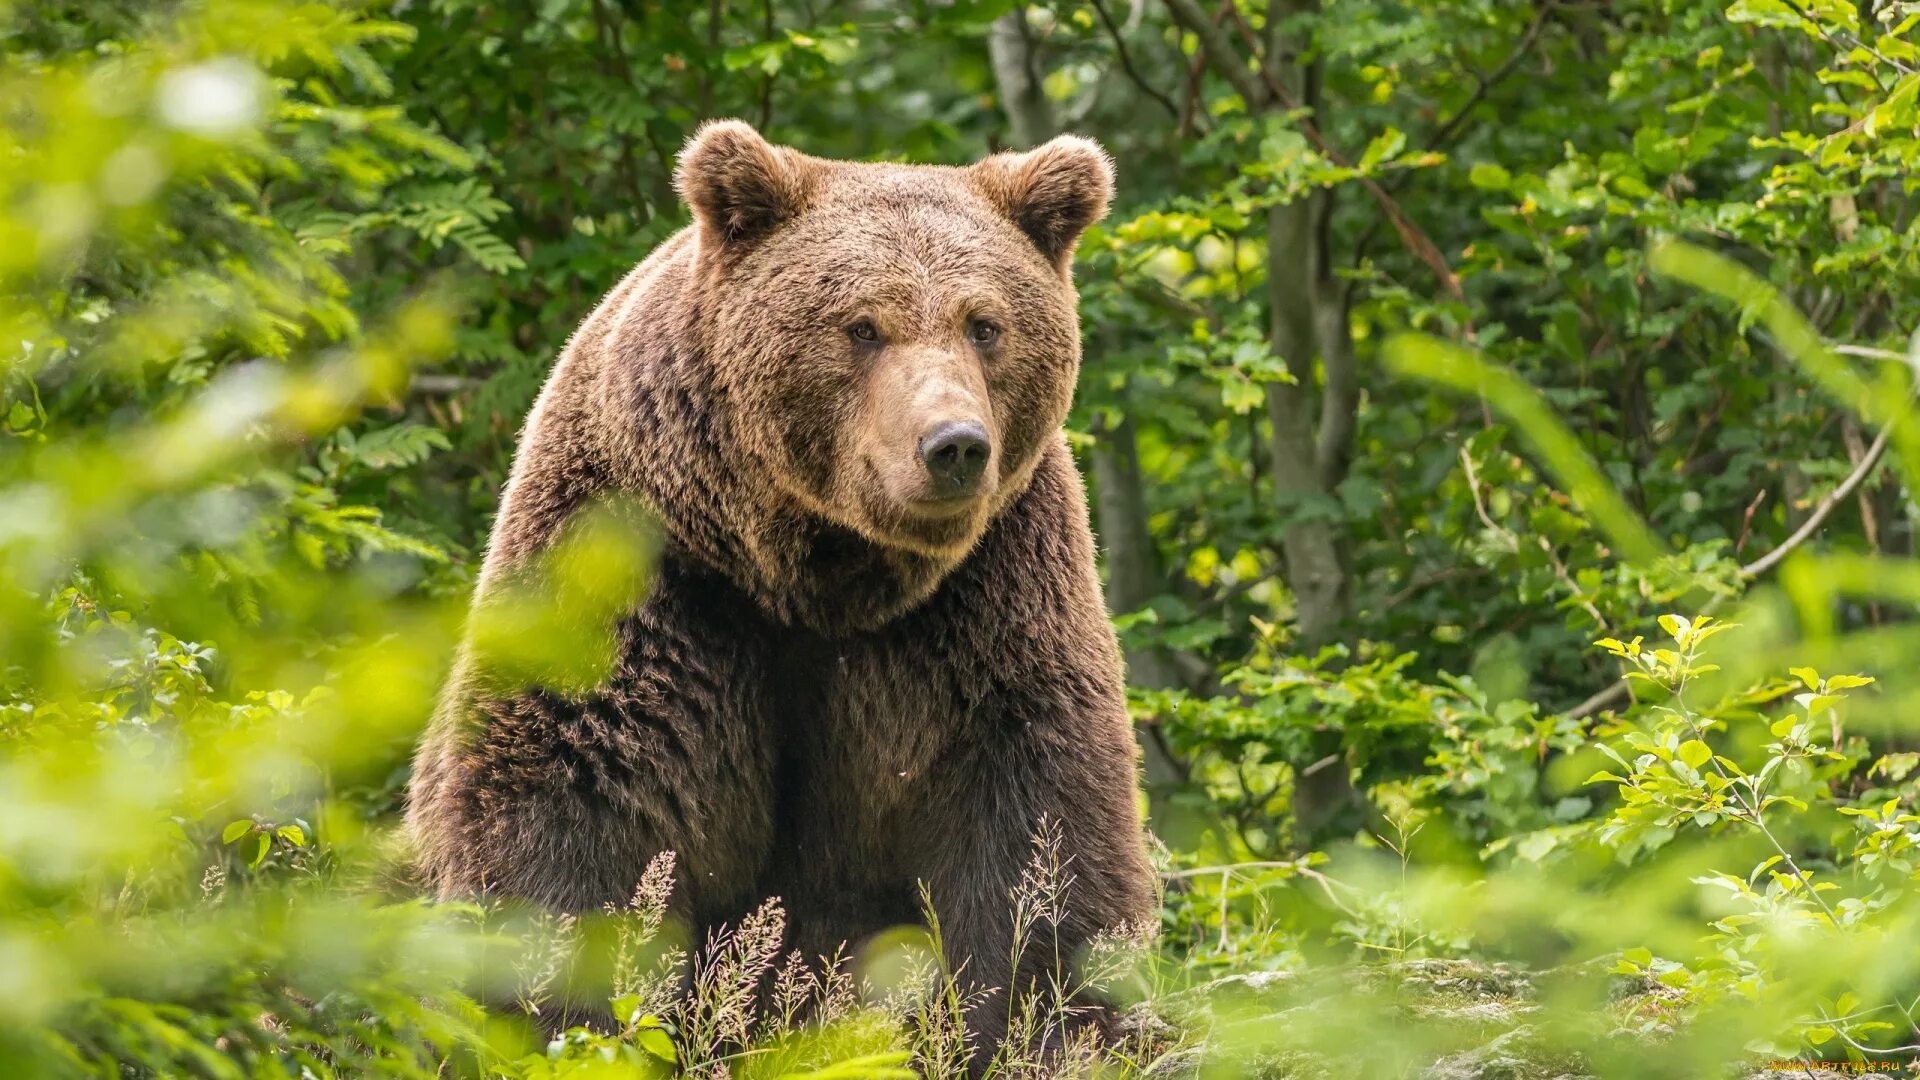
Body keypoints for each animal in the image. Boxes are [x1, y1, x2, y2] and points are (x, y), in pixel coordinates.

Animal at [405, 117, 1152, 1053]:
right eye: (862, 326)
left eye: (985, 324)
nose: (953, 445)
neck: (817, 573)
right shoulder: (647, 576)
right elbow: (576, 799)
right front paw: (556, 1012)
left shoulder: (990, 607)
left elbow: (1037, 840)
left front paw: (1040, 1026)